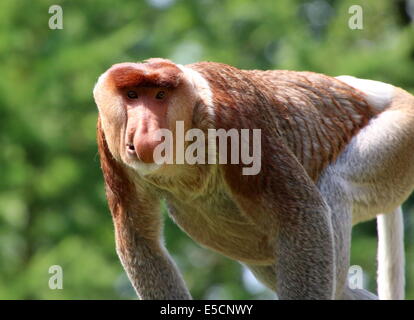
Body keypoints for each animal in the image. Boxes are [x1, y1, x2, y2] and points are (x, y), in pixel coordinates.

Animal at [94, 58, 414, 300]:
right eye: (132, 96)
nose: (145, 133)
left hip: (397, 135)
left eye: (160, 96)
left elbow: (302, 213)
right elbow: (141, 240)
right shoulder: (109, 143)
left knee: (336, 186)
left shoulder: (238, 121)